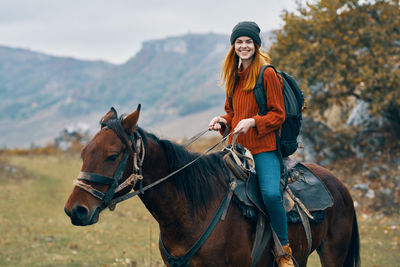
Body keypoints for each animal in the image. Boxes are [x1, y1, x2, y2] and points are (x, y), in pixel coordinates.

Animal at [65, 105, 360, 266]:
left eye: (112, 155)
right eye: (84, 152)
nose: (75, 210)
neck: (193, 212)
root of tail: (338, 185)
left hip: (333, 254)